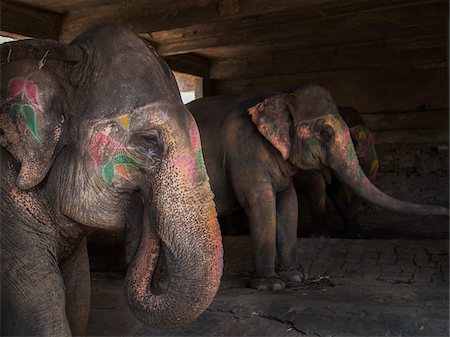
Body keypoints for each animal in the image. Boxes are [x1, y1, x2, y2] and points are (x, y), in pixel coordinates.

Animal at [294, 107, 378, 236]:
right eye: (356, 142)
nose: (345, 210)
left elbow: (335, 187)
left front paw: (354, 233)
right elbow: (316, 183)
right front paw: (320, 235)